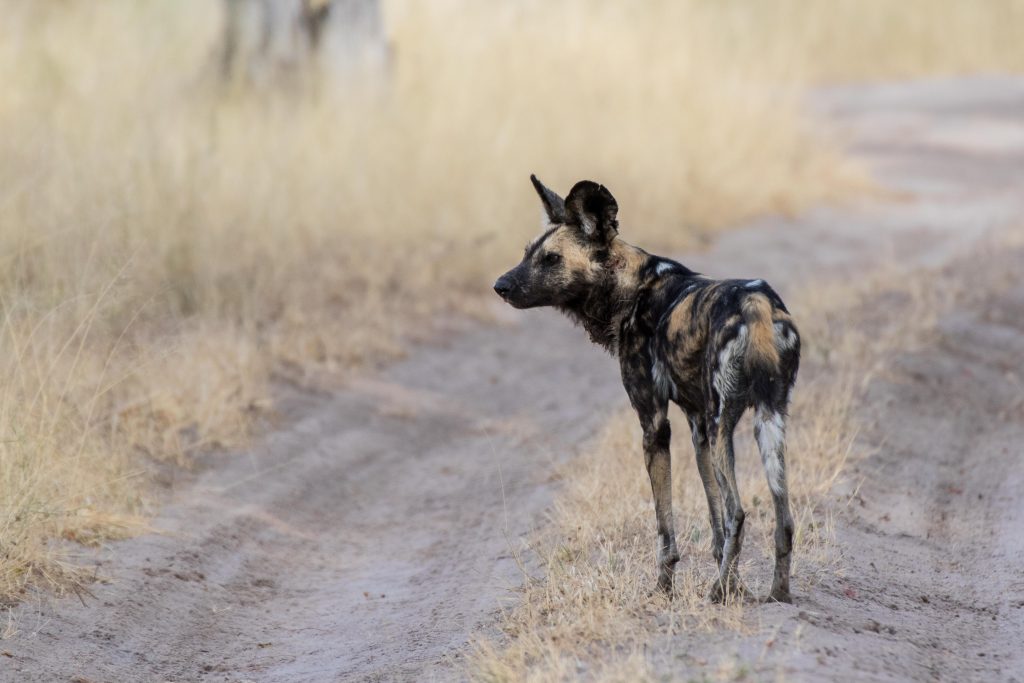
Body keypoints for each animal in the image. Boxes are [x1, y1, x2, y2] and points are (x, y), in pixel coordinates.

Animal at [493, 178, 798, 602]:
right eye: (527, 253)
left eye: (551, 259)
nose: (500, 285)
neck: (630, 287)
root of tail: (758, 303)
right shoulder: (698, 427)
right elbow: (714, 520)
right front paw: (734, 585)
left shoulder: (655, 424)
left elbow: (666, 528)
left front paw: (665, 589)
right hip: (766, 421)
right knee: (782, 518)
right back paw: (775, 594)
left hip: (724, 424)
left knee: (738, 512)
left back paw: (717, 591)